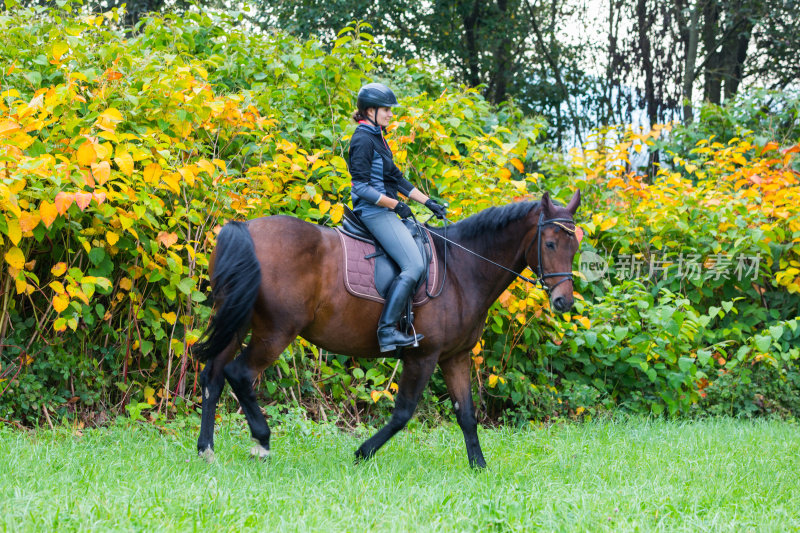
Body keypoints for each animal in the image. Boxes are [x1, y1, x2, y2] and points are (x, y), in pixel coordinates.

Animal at [194, 190, 580, 466]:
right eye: (549, 244)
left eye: (575, 247)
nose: (564, 301)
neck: (461, 268)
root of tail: (245, 228)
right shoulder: (423, 356)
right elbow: (403, 413)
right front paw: (363, 452)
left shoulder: (454, 357)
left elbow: (467, 415)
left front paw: (479, 467)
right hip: (275, 331)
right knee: (239, 373)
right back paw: (261, 441)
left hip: (239, 322)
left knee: (213, 375)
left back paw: (207, 450)